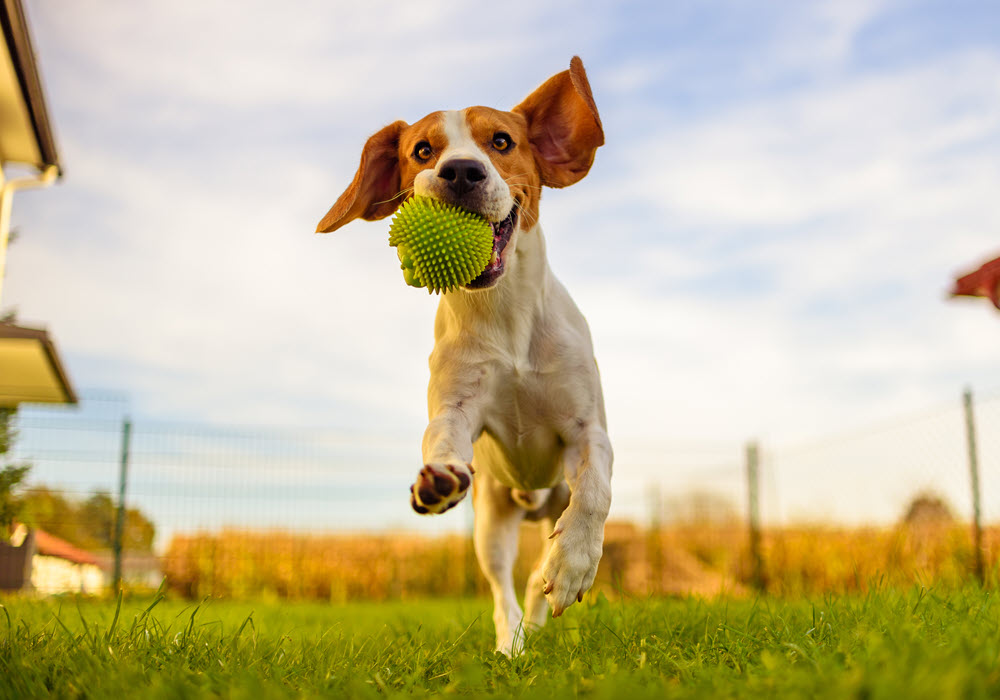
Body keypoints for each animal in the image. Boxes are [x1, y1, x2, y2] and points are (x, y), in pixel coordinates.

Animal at [316, 57, 612, 652]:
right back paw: (512, 644)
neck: (504, 316)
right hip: (490, 522)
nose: (460, 172)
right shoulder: (456, 407)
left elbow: (594, 490)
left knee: (537, 568)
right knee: (503, 589)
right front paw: (438, 477)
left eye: (501, 141)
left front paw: (572, 564)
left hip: (549, 498)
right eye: (422, 150)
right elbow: (441, 438)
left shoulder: (588, 429)